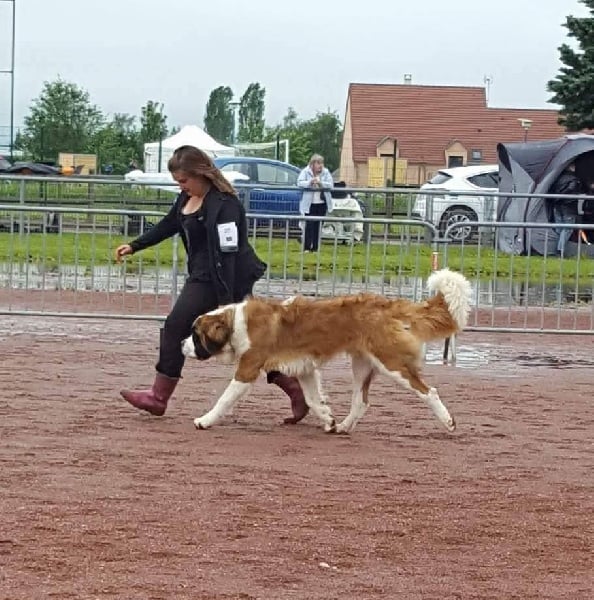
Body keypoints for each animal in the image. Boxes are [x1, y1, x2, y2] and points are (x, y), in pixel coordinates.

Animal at [182, 268, 472, 434]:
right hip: (362, 364)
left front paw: (204, 420)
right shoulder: (305, 369)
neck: (235, 322)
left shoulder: (248, 368)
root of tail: (386, 304)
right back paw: (343, 427)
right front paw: (328, 419)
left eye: (195, 335)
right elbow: (312, 398)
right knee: (361, 401)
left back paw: (448, 422)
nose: (182, 345)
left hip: (392, 362)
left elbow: (224, 398)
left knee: (428, 391)